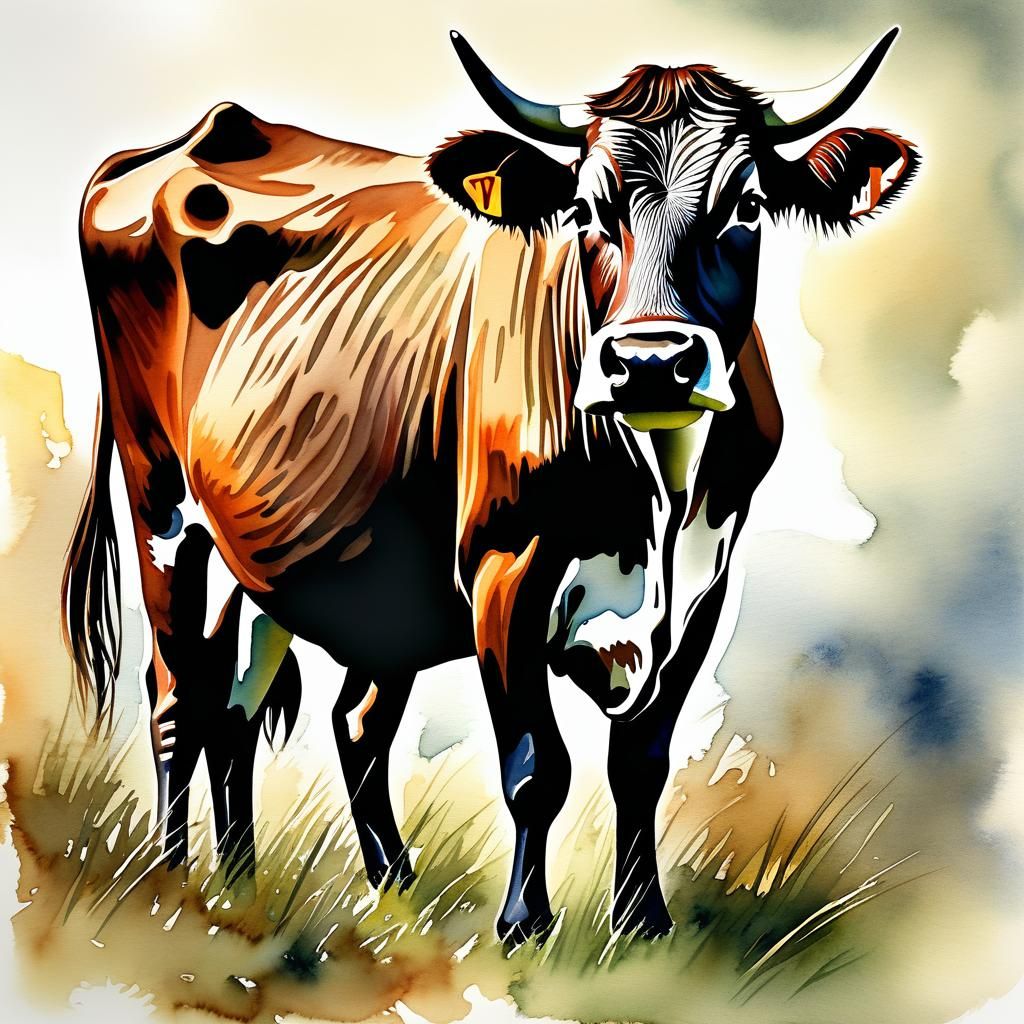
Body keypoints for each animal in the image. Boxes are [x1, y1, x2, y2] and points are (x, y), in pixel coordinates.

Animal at [62, 27, 918, 942]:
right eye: (586, 211)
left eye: (746, 206)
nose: (652, 363)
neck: (657, 489)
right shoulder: (505, 569)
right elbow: (537, 767)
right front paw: (524, 926)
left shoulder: (703, 585)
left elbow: (641, 761)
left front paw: (641, 922)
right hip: (162, 505)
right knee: (178, 696)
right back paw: (176, 883)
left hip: (293, 560)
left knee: (271, 715)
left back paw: (291, 889)